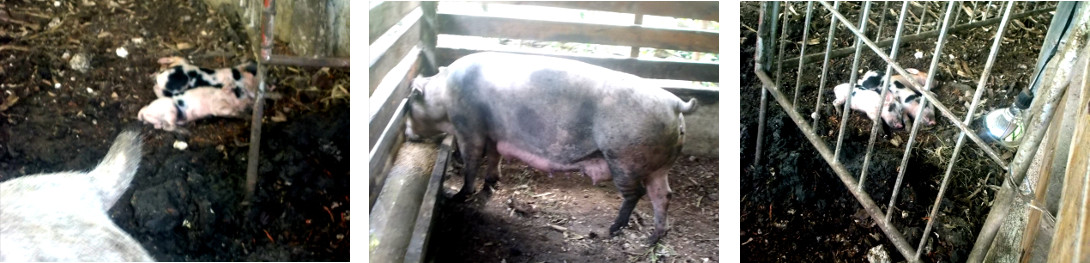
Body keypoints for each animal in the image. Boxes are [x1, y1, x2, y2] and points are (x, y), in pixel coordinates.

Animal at [407, 51, 697, 244]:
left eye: (409, 106)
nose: (408, 135)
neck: (443, 97)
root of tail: (675, 104)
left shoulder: (469, 127)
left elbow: (472, 161)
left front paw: (456, 196)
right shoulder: (494, 134)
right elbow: (494, 156)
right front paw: (491, 183)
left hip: (624, 158)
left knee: (636, 193)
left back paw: (613, 229)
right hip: (658, 166)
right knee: (664, 195)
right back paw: (653, 237)